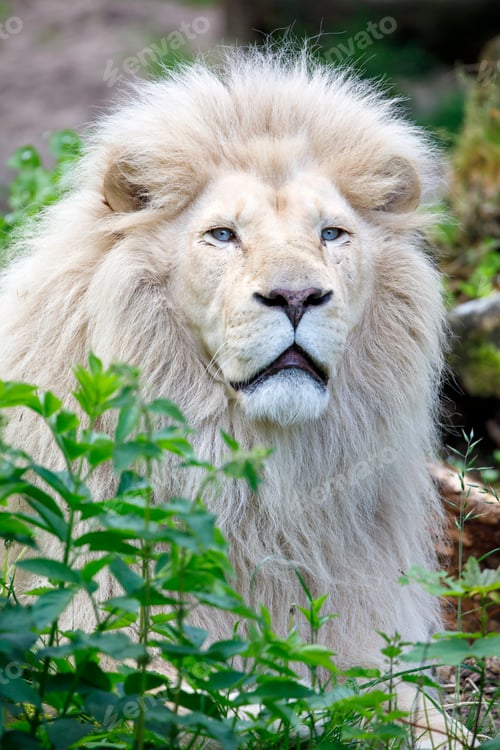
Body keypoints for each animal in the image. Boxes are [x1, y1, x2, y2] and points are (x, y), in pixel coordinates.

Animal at [0, 48, 464, 746]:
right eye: (222, 235)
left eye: (332, 234)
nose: (297, 297)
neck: (263, 486)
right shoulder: (83, 637)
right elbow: (215, 707)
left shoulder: (365, 639)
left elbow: (432, 717)